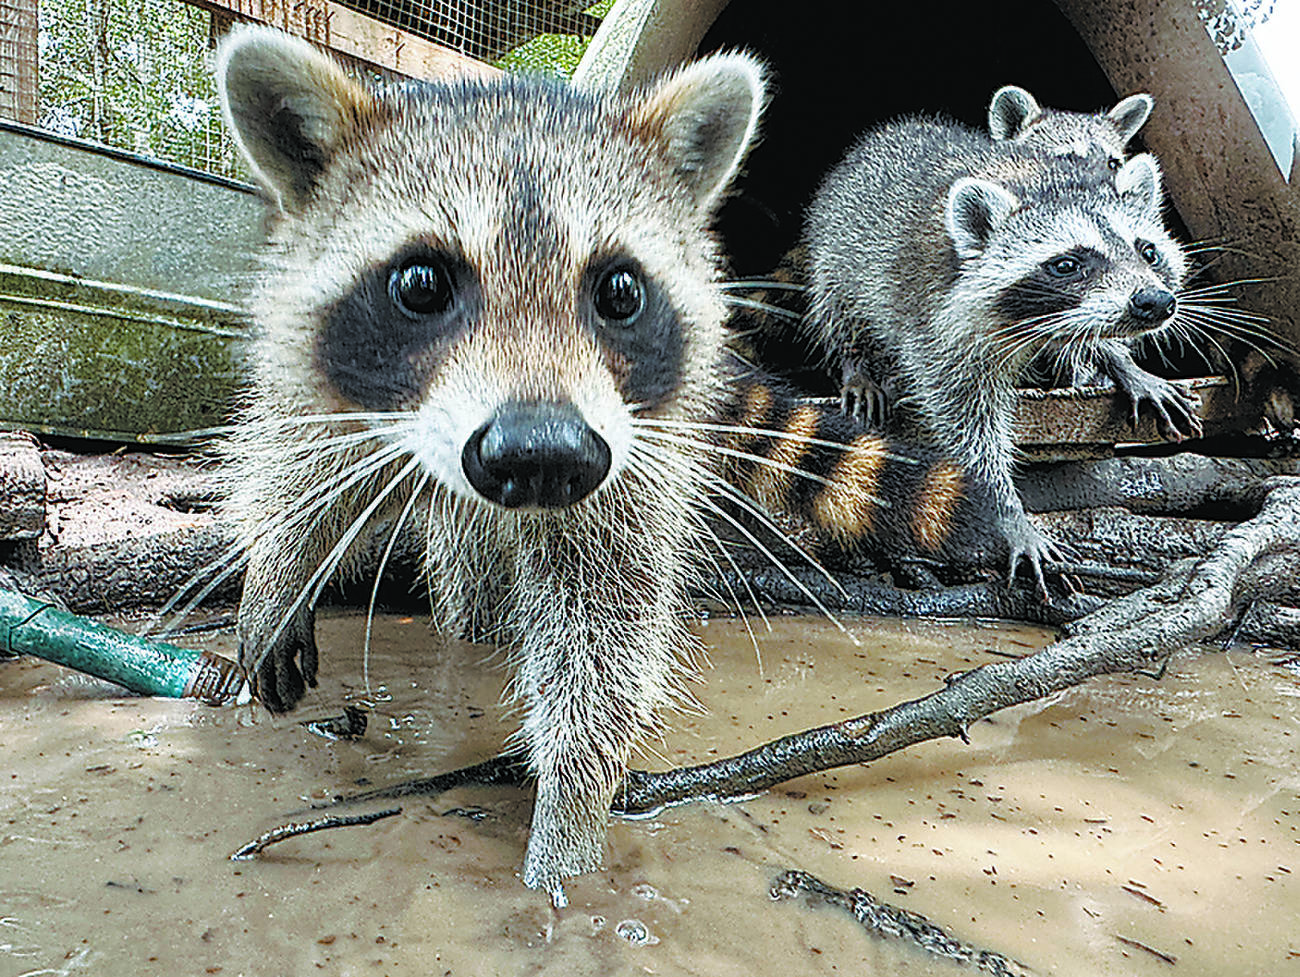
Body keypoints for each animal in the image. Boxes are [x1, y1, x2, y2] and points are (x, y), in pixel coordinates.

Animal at [215, 28, 997, 903]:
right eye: (420, 284)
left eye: (621, 291)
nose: (539, 455)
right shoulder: (320, 371)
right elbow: (295, 457)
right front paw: (278, 571)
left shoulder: (626, 455)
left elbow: (606, 616)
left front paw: (571, 813)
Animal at [805, 116, 1190, 589]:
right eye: (1067, 264)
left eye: (1147, 251)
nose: (1154, 302)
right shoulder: (936, 325)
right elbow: (967, 424)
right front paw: (1005, 509)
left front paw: (1121, 361)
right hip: (838, 249)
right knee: (840, 306)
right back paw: (856, 363)